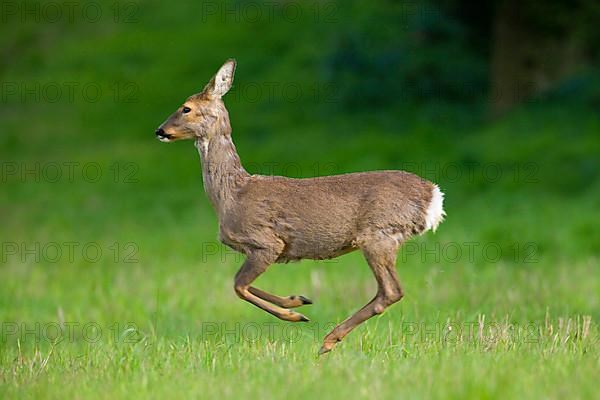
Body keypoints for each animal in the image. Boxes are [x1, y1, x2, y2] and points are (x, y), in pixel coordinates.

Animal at [155, 59, 446, 354]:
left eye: (186, 107)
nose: (160, 131)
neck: (231, 195)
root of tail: (434, 195)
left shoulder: (267, 242)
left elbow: (239, 285)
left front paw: (295, 315)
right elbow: (243, 285)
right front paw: (298, 300)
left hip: (378, 234)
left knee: (391, 290)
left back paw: (329, 340)